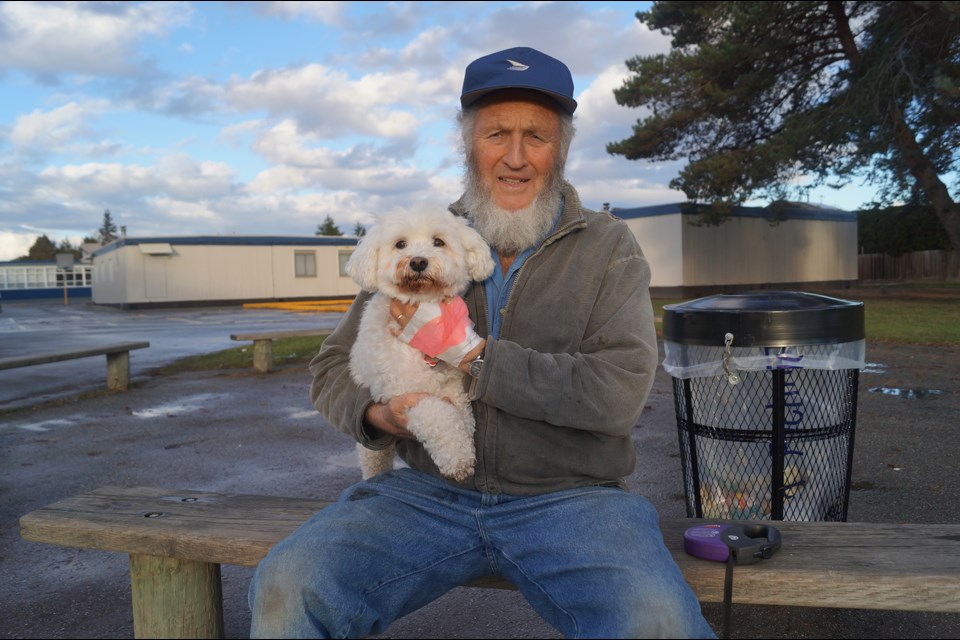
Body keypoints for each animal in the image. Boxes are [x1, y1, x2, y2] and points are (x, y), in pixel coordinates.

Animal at [344, 209, 496, 480]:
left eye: (438, 242)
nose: (417, 262)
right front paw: (457, 460)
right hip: (372, 451)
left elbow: (462, 417)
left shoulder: (453, 388)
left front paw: (462, 448)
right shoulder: (408, 395)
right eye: (400, 244)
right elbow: (439, 415)